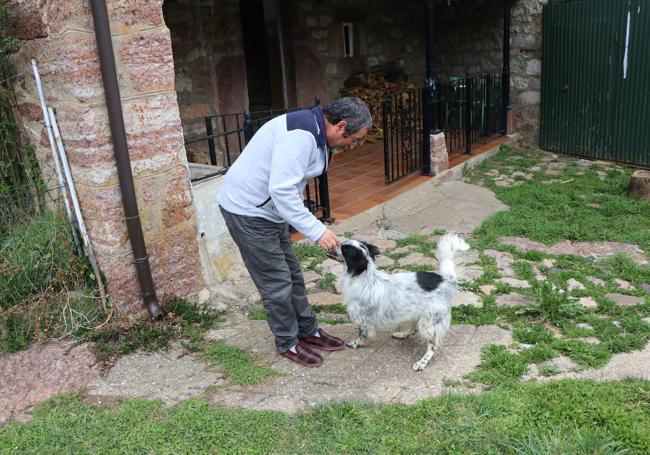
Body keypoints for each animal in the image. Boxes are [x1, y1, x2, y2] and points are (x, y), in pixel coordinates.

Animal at [336, 233, 468, 372]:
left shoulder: (362, 319)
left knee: (433, 346)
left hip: (428, 323)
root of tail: (446, 280)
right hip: (416, 313)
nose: (337, 243)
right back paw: (402, 334)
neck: (363, 277)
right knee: (413, 329)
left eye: (344, 249)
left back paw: (422, 362)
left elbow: (363, 335)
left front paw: (356, 344)